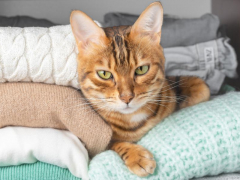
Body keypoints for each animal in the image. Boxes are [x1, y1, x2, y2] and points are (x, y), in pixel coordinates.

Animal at [70, 0, 210, 176]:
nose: (127, 97)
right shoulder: (99, 146)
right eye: (104, 74)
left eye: (141, 69)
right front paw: (136, 156)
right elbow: (114, 144)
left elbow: (201, 88)